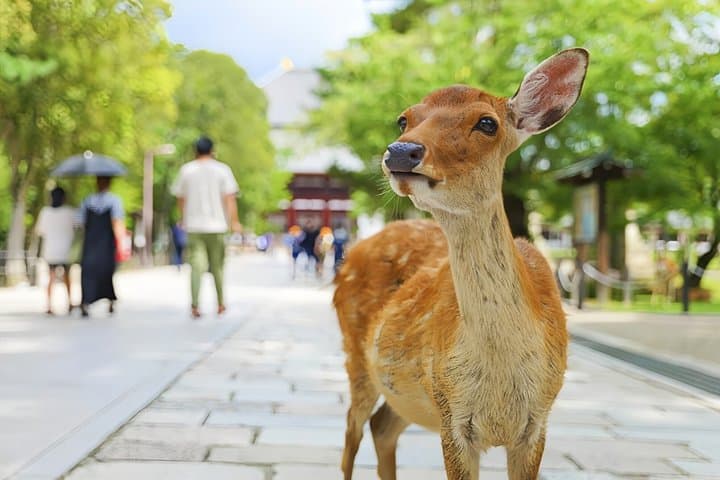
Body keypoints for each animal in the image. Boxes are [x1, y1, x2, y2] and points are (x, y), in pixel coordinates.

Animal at [333, 48, 589, 480]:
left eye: (487, 123)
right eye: (404, 118)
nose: (400, 151)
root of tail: (350, 254)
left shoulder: (537, 421)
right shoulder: (452, 414)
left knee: (382, 426)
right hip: (356, 355)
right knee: (351, 432)